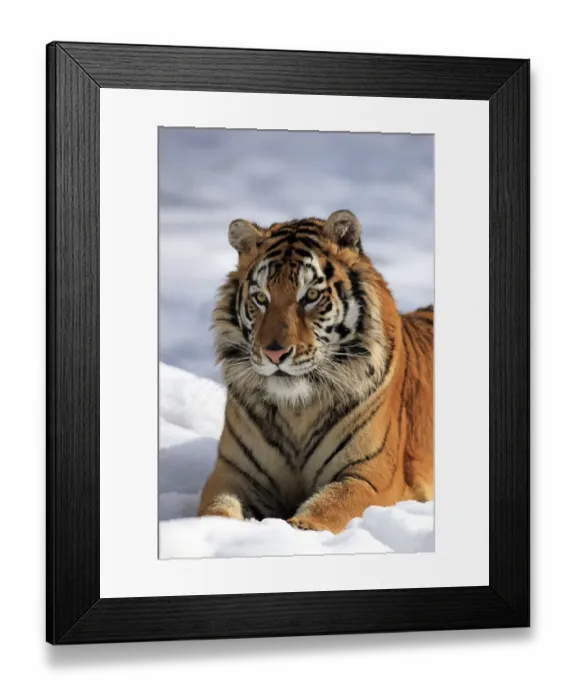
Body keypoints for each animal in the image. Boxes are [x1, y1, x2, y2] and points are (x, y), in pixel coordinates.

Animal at [197, 209, 434, 534]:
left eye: (310, 296)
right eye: (261, 298)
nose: (275, 353)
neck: (297, 410)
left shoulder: (370, 476)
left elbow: (329, 506)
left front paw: (297, 530)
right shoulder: (234, 474)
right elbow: (216, 509)